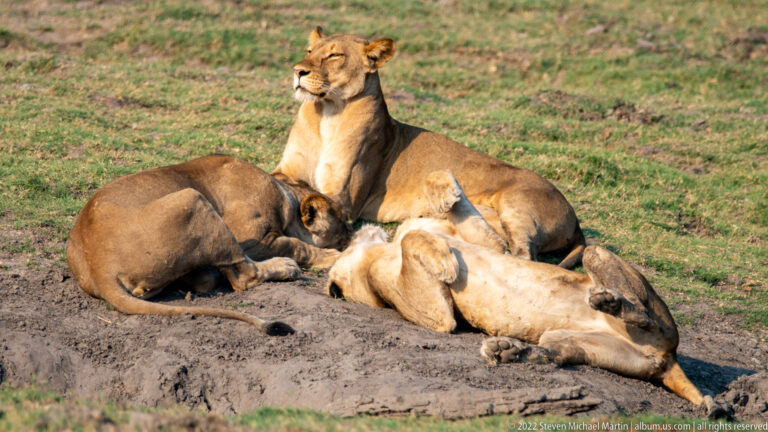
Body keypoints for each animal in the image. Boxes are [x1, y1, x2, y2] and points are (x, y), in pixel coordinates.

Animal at [66, 154, 352, 334]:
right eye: (344, 223)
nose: (351, 234)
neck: (287, 193)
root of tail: (98, 266)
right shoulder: (250, 237)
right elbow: (295, 245)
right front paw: (334, 255)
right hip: (193, 199)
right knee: (245, 277)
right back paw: (286, 268)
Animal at [273, 27, 584, 268]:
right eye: (309, 50)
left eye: (334, 55)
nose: (298, 71)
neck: (326, 114)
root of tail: (575, 219)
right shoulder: (285, 169)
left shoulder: (344, 197)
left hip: (517, 207)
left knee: (521, 254)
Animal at [325, 170, 719, 412]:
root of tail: (668, 361)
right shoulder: (436, 317)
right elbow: (414, 245)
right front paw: (446, 264)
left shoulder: (489, 243)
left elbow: (435, 224)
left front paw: (445, 189)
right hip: (597, 330)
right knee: (571, 347)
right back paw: (511, 349)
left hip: (596, 271)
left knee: (633, 315)